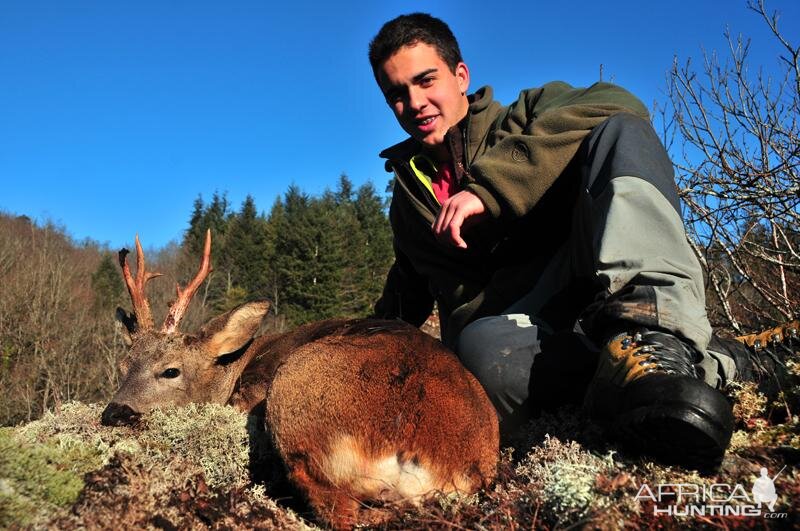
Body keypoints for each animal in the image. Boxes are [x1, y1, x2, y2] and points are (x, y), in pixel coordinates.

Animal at [101, 233, 500, 531]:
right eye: (123, 364)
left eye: (170, 370)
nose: (113, 413)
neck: (232, 368)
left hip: (298, 396)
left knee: (339, 511)